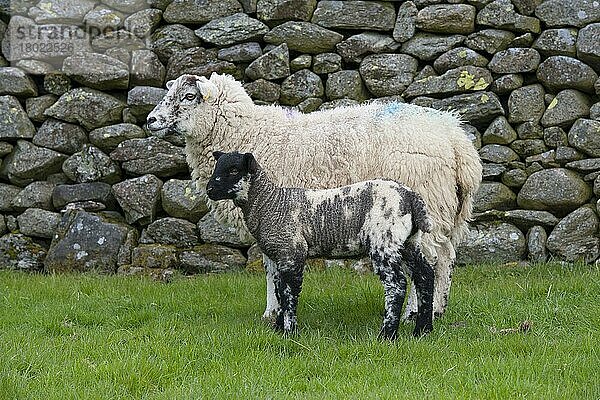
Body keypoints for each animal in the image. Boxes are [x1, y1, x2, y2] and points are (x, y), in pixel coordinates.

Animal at [207, 151, 436, 338]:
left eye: (234, 170)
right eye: (216, 166)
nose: (210, 189)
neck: (269, 203)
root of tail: (410, 196)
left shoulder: (292, 252)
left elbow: (289, 293)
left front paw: (289, 332)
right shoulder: (278, 256)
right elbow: (279, 292)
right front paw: (278, 329)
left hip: (384, 241)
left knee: (397, 285)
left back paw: (387, 335)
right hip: (408, 243)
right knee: (425, 276)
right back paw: (422, 330)